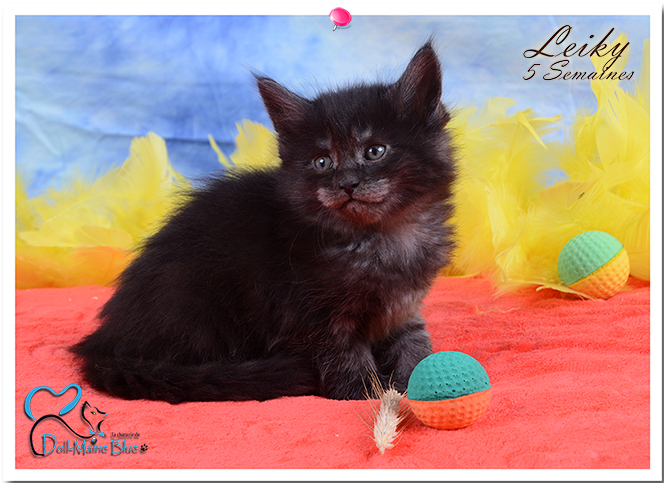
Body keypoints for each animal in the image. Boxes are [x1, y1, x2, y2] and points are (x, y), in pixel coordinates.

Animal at [71, 41, 456, 403]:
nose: (347, 183)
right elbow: (345, 353)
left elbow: (414, 340)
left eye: (375, 151)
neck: (380, 238)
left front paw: (421, 379)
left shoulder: (404, 306)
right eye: (322, 162)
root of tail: (104, 345)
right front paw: (366, 391)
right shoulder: (311, 313)